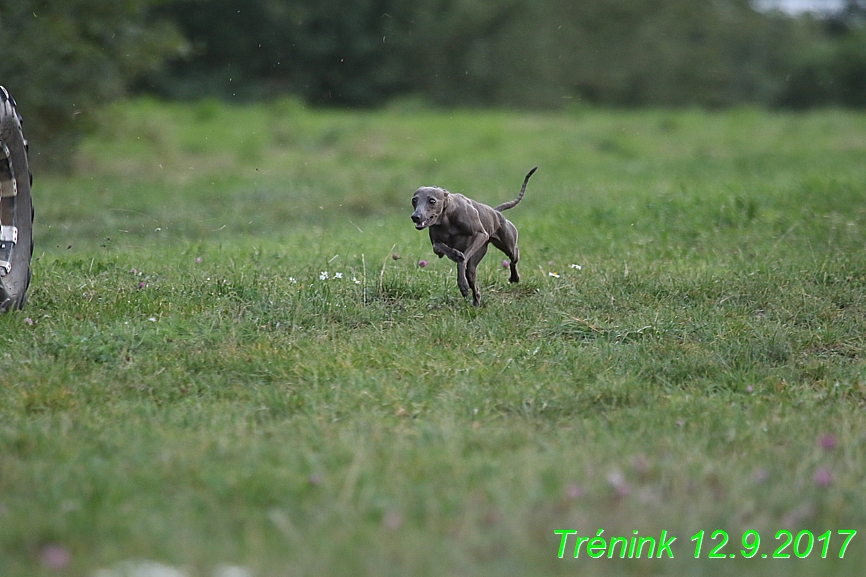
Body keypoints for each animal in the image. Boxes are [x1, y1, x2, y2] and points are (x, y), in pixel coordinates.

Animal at [410, 165, 532, 304]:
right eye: (414, 200)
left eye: (432, 200)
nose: (415, 217)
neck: (446, 217)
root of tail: (495, 212)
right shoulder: (437, 248)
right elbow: (440, 247)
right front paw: (455, 255)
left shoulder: (481, 235)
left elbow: (462, 260)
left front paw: (462, 284)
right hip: (478, 257)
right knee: (471, 275)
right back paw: (476, 300)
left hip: (507, 245)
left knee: (513, 258)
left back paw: (514, 277)